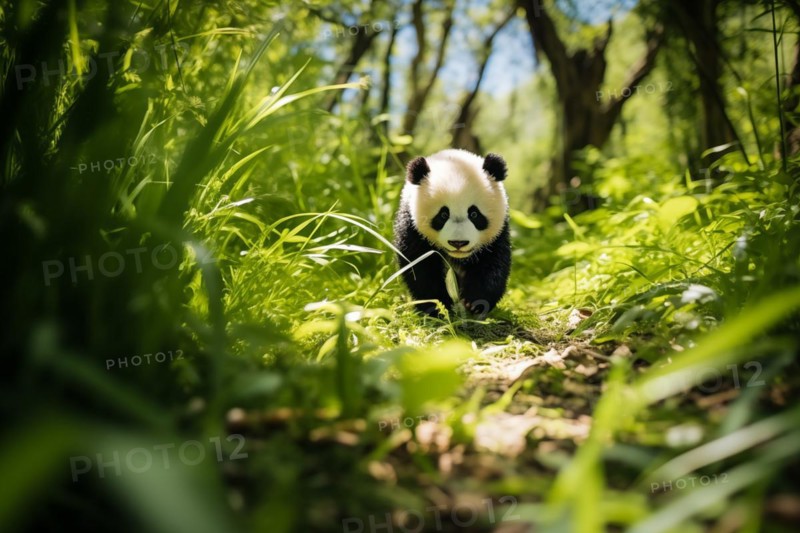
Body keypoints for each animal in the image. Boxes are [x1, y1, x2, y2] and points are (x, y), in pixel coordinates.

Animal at [393, 149, 511, 317]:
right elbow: (419, 264)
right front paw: (436, 305)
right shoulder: (411, 226)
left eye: (474, 214)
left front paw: (475, 302)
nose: (458, 243)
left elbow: (493, 263)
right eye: (443, 215)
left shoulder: (498, 234)